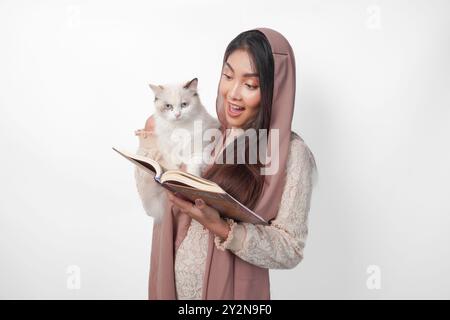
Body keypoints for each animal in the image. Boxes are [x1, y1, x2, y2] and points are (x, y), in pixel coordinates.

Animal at [134, 77, 221, 222]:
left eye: (184, 105)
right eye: (168, 106)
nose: (177, 114)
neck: (180, 129)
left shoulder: (201, 148)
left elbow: (193, 167)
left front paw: (190, 180)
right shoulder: (167, 148)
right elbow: (172, 162)